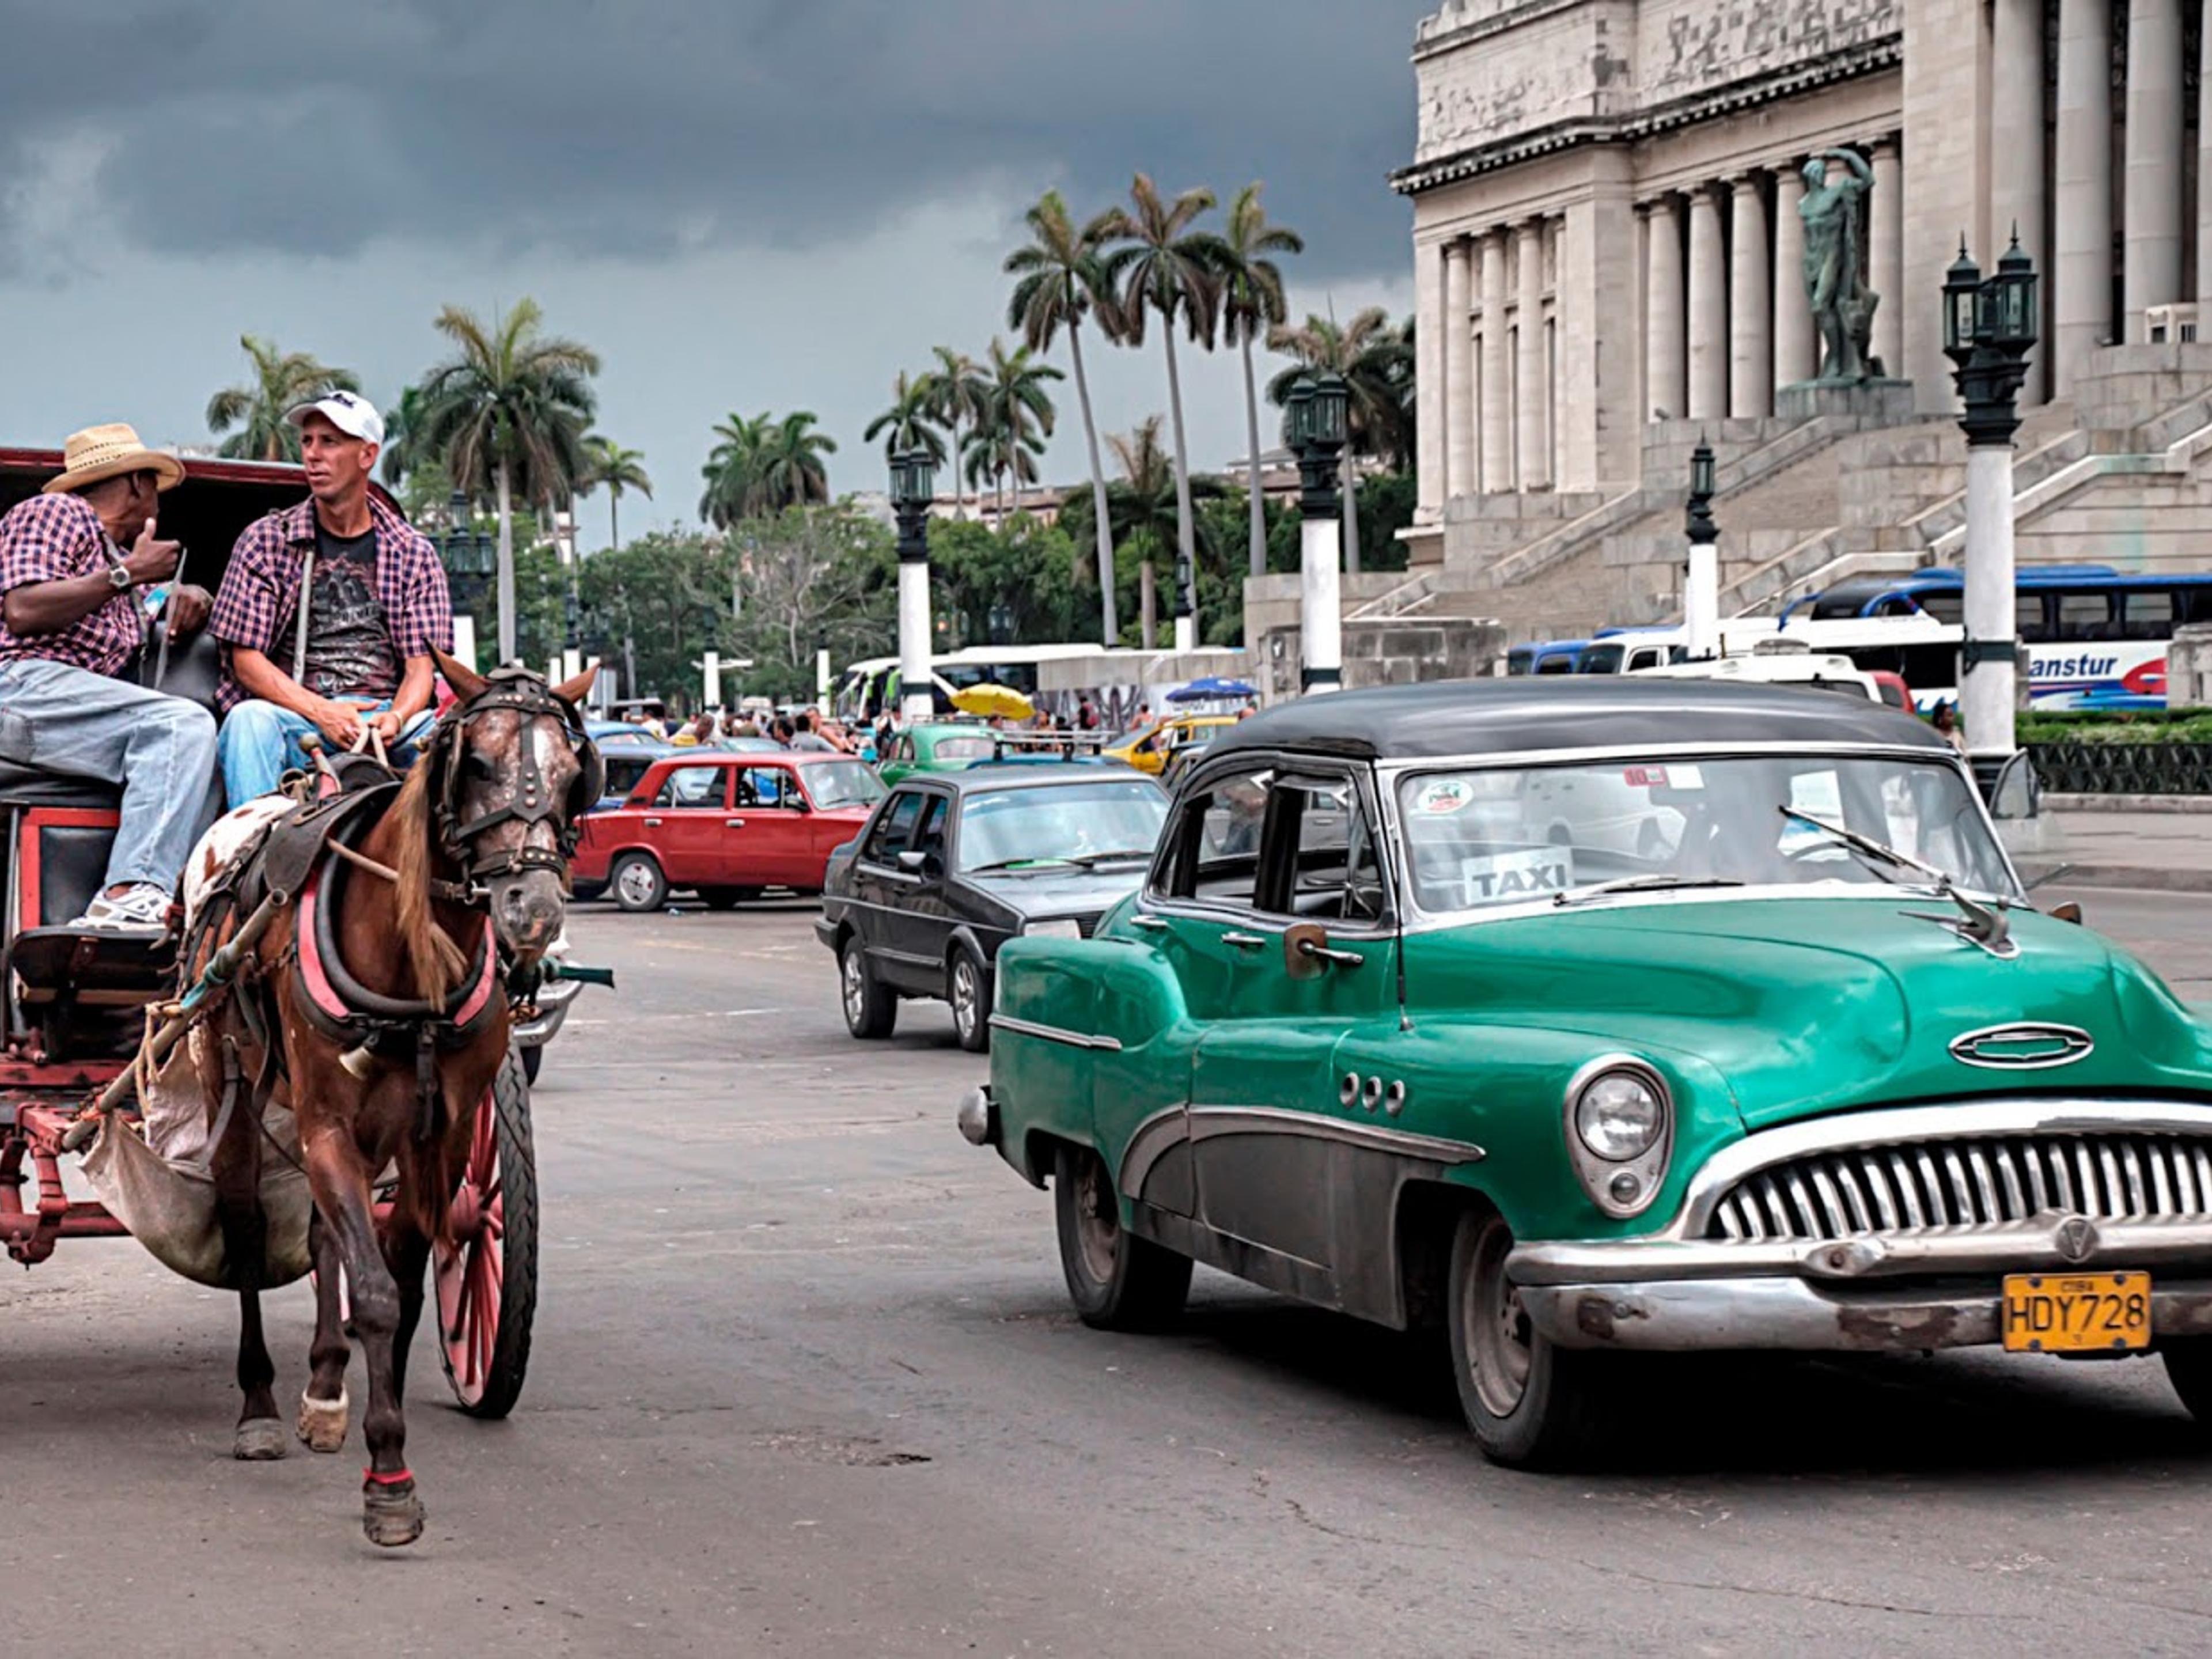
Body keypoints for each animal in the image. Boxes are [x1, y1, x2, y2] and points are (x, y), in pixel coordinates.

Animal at [188, 650, 597, 1548]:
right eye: (474, 763)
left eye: (573, 770)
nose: (534, 911)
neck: (409, 968)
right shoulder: (328, 1126)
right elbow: (374, 1291)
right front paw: (389, 1479)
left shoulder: (434, 1133)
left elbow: (407, 1279)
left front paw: (379, 1420)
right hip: (230, 1081)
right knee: (245, 1225)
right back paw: (261, 1404)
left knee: (323, 1234)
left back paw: (324, 1387)